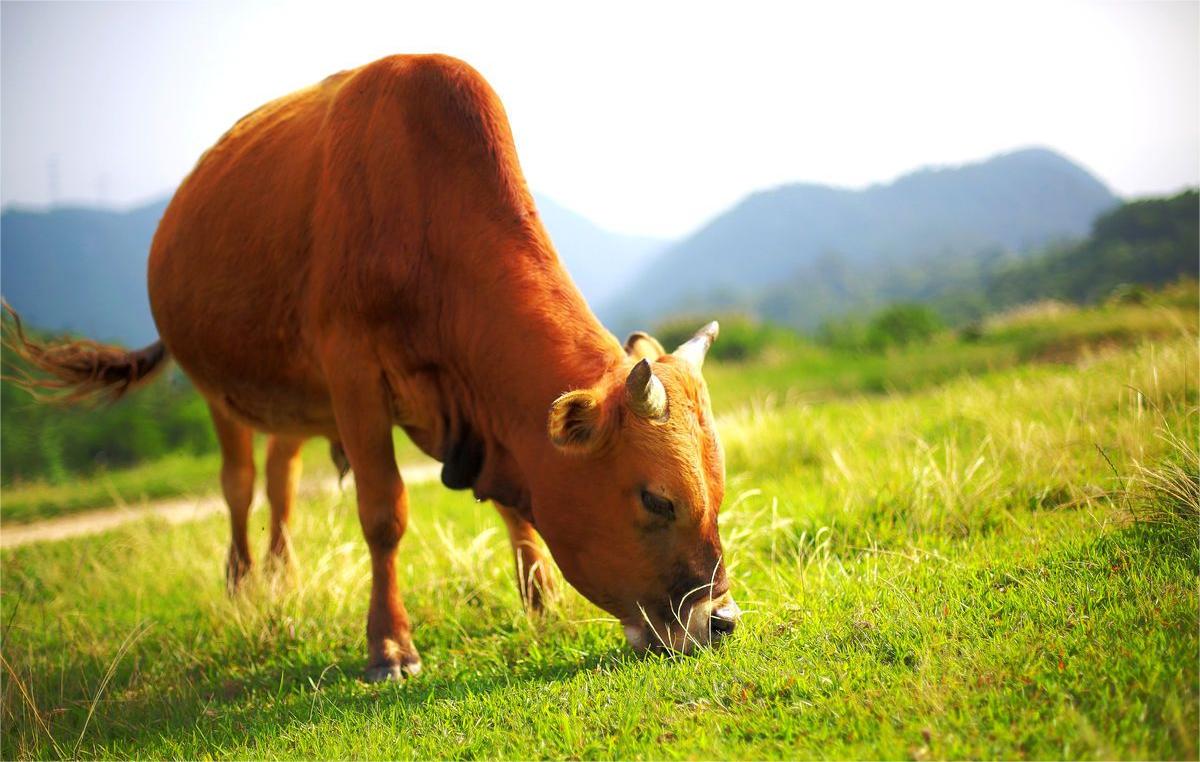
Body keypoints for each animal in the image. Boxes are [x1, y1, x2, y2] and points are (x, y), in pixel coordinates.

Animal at [4, 55, 734, 686]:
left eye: (718, 492)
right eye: (656, 499)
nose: (722, 620)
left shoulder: (484, 416)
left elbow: (514, 506)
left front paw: (541, 601)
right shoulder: (353, 373)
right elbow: (383, 512)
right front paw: (389, 647)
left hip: (294, 398)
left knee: (281, 481)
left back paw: (282, 577)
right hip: (219, 391)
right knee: (239, 486)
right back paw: (243, 586)